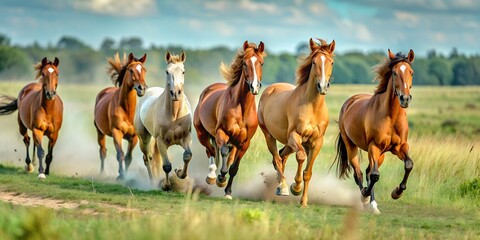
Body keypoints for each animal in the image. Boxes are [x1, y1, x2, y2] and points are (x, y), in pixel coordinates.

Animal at [93, 52, 146, 180]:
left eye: (144, 70)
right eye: (131, 70)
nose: (142, 88)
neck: (127, 111)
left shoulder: (134, 137)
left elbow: (128, 158)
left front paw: (126, 176)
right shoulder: (117, 133)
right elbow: (120, 155)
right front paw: (120, 175)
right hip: (100, 132)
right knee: (103, 151)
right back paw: (102, 173)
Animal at [134, 50, 192, 189]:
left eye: (183, 71)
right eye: (167, 72)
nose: (175, 93)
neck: (175, 116)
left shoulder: (186, 137)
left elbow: (187, 156)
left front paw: (180, 172)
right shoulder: (161, 141)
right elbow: (166, 166)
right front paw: (166, 185)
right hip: (144, 138)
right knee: (147, 158)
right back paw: (152, 182)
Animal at [192, 41, 266, 199]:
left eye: (261, 63)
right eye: (244, 63)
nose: (254, 87)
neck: (242, 109)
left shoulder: (244, 143)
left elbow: (234, 167)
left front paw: (228, 192)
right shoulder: (222, 133)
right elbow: (224, 152)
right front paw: (221, 178)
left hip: (234, 142)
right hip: (202, 134)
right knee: (211, 151)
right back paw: (212, 176)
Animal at [258, 38, 334, 207]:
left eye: (331, 62)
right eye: (314, 62)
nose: (322, 86)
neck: (312, 107)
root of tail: (270, 89)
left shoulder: (316, 142)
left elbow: (308, 172)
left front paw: (303, 201)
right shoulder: (295, 136)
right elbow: (300, 157)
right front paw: (296, 188)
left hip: (292, 143)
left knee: (282, 157)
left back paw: (279, 186)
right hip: (270, 136)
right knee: (277, 158)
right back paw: (283, 187)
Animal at [334, 48, 416, 214]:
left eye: (411, 72)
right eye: (394, 72)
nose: (405, 99)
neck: (391, 116)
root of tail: (350, 101)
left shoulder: (400, 147)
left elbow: (409, 164)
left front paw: (397, 192)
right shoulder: (374, 146)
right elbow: (375, 175)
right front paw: (366, 197)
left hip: (382, 154)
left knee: (367, 171)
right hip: (352, 146)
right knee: (359, 173)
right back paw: (366, 200)